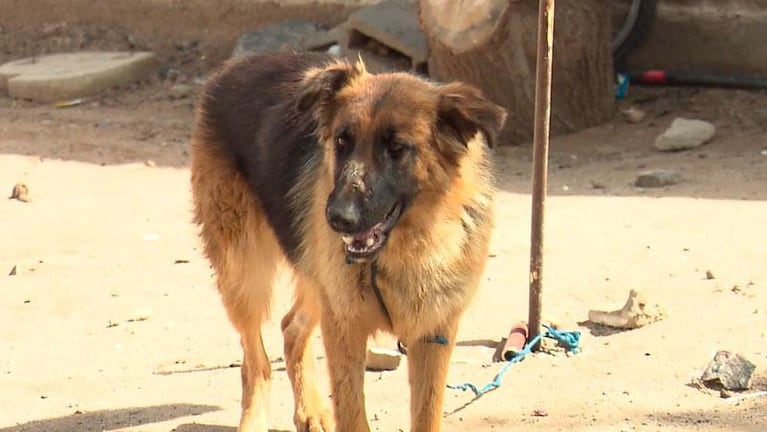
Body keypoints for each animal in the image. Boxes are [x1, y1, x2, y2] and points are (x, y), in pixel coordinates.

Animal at [189, 51, 508, 432]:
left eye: (397, 147)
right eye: (342, 141)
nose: (338, 217)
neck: (406, 249)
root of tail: (235, 66)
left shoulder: (434, 333)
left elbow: (426, 416)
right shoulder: (344, 328)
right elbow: (353, 414)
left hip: (314, 278)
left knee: (291, 329)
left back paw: (311, 411)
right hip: (245, 273)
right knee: (255, 361)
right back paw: (255, 419)